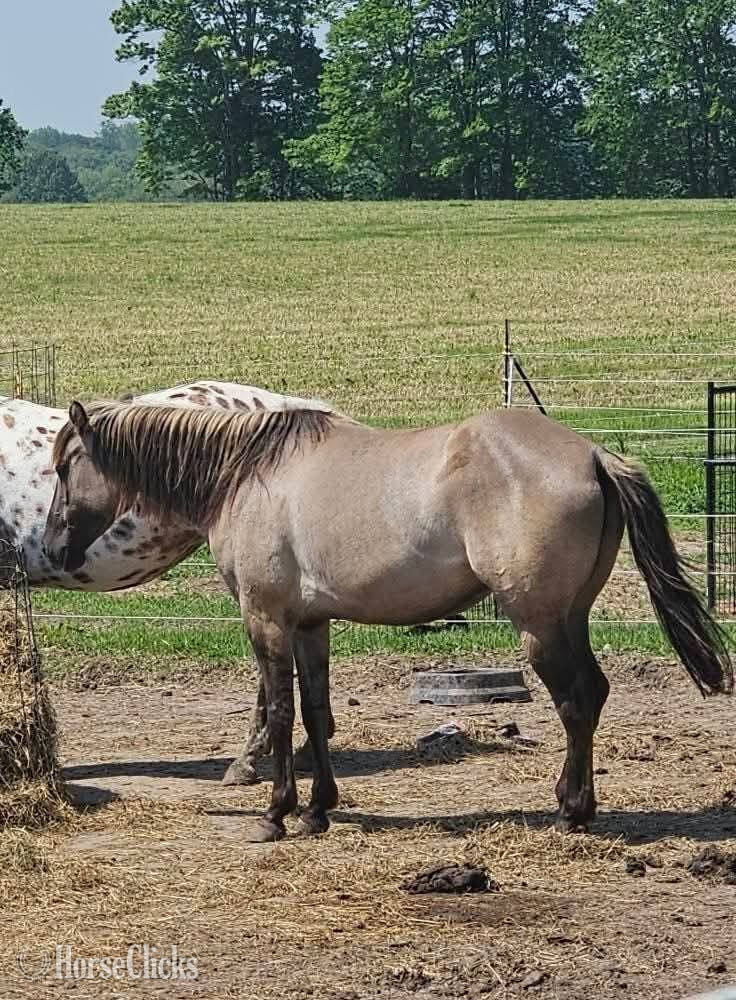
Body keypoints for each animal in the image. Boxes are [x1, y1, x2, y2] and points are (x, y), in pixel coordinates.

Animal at [44, 400, 732, 843]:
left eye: (63, 466)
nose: (51, 549)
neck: (246, 475)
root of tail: (591, 454)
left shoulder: (266, 619)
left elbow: (279, 712)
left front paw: (275, 813)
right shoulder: (309, 624)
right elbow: (316, 714)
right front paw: (318, 811)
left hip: (538, 622)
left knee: (577, 700)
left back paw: (571, 811)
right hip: (570, 615)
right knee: (592, 694)